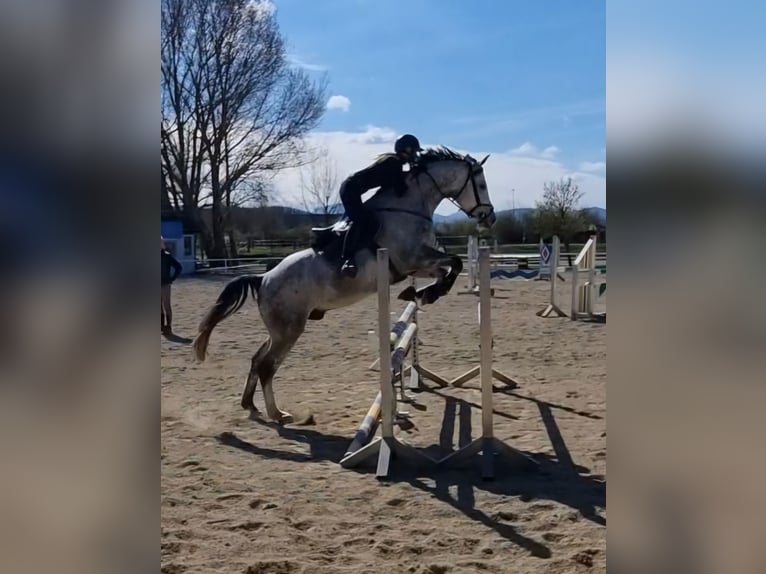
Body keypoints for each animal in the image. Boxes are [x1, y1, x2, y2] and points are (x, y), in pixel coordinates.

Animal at [194, 147, 498, 428]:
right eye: (481, 184)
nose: (490, 217)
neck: (410, 205)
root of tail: (263, 278)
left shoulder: (418, 265)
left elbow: (450, 267)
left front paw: (420, 293)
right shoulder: (413, 258)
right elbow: (455, 262)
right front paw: (428, 293)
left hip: (278, 330)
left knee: (257, 360)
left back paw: (251, 406)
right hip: (289, 329)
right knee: (268, 366)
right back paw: (278, 413)